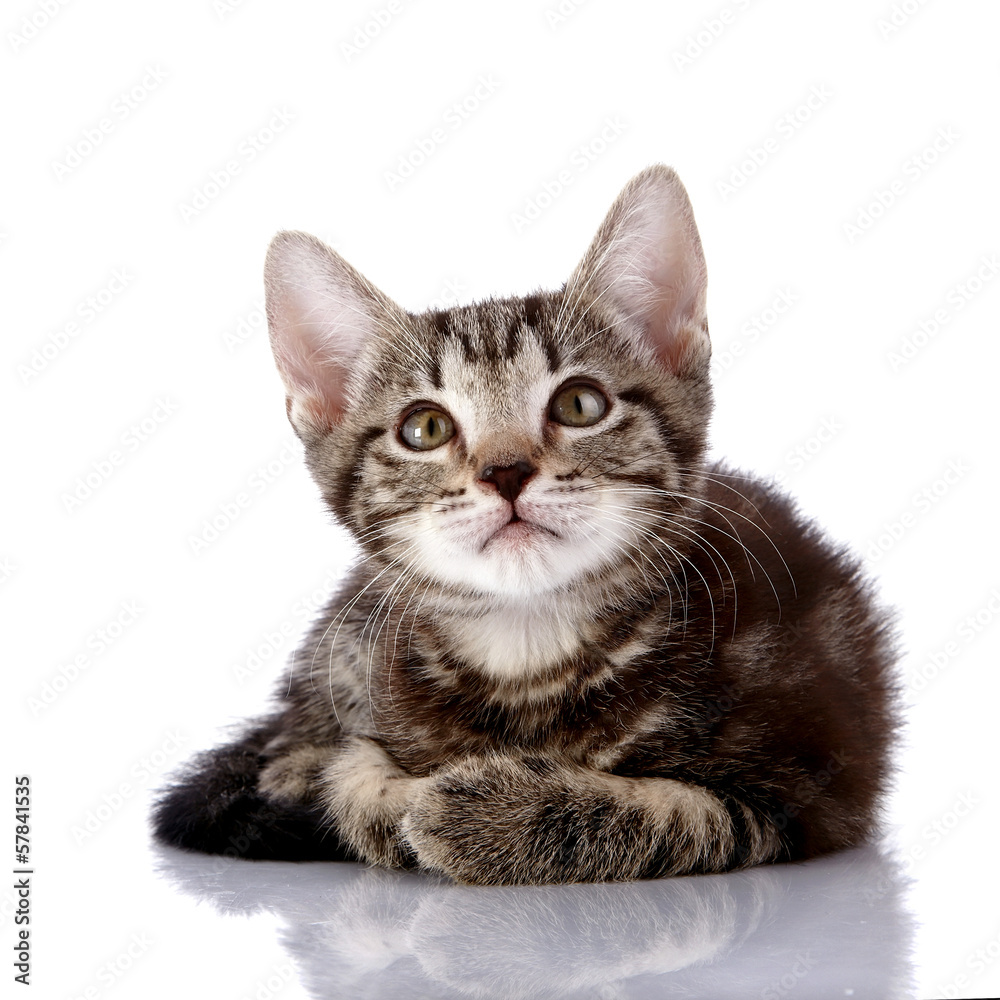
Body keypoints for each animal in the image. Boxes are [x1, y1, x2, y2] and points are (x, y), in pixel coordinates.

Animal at [152, 168, 904, 888]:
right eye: (425, 428)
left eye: (580, 404)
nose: (506, 471)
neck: (529, 651)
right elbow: (351, 781)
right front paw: (390, 794)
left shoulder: (800, 787)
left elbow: (669, 816)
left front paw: (476, 812)